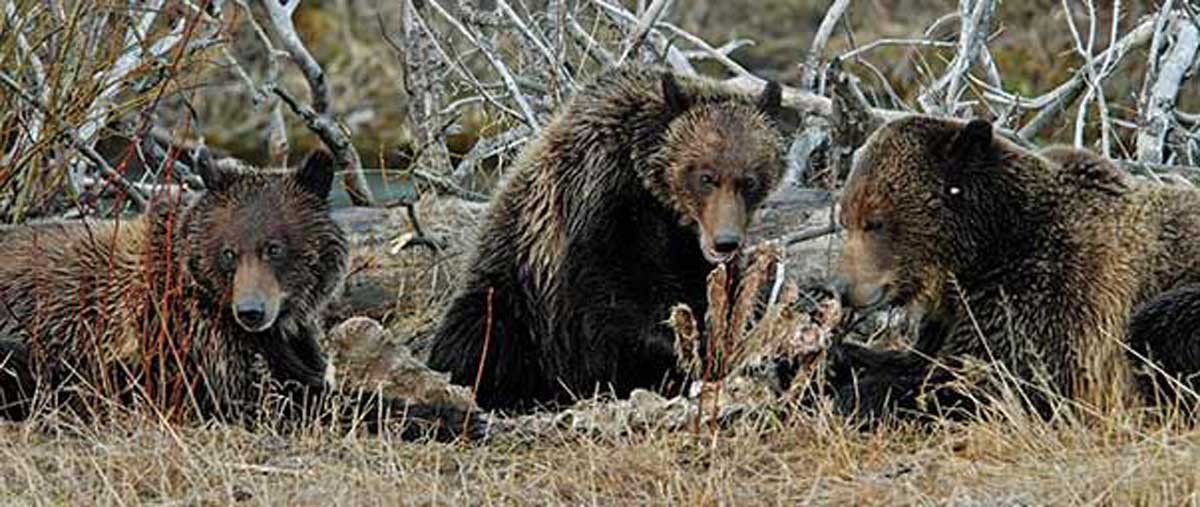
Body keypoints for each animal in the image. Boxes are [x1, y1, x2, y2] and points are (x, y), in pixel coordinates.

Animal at [0, 147, 482, 439]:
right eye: (229, 252)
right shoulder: (196, 348)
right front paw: (454, 417)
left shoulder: (286, 341)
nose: (251, 311)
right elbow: (283, 401)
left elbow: (308, 378)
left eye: (275, 247)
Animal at [429, 65, 787, 410]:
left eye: (749, 180)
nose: (725, 242)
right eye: (706, 177)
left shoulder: (683, 249)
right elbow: (608, 300)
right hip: (512, 290)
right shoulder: (595, 209)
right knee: (483, 333)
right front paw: (673, 354)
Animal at [830, 114, 1200, 420]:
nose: (843, 288)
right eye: (846, 218)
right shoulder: (954, 314)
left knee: (1154, 325)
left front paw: (857, 395)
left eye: (874, 221)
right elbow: (916, 357)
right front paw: (834, 363)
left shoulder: (1046, 293)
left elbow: (992, 382)